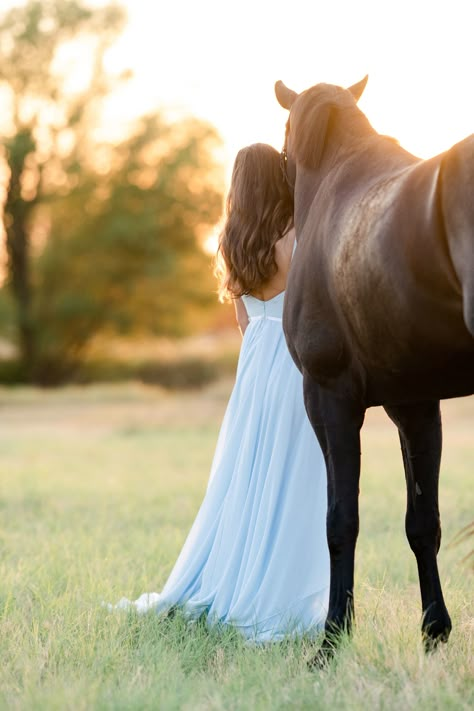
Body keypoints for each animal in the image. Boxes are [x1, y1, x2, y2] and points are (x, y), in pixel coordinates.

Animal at [274, 75, 474, 664]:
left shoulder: (328, 399)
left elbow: (341, 521)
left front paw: (331, 640)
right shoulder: (416, 406)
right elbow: (423, 524)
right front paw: (434, 631)